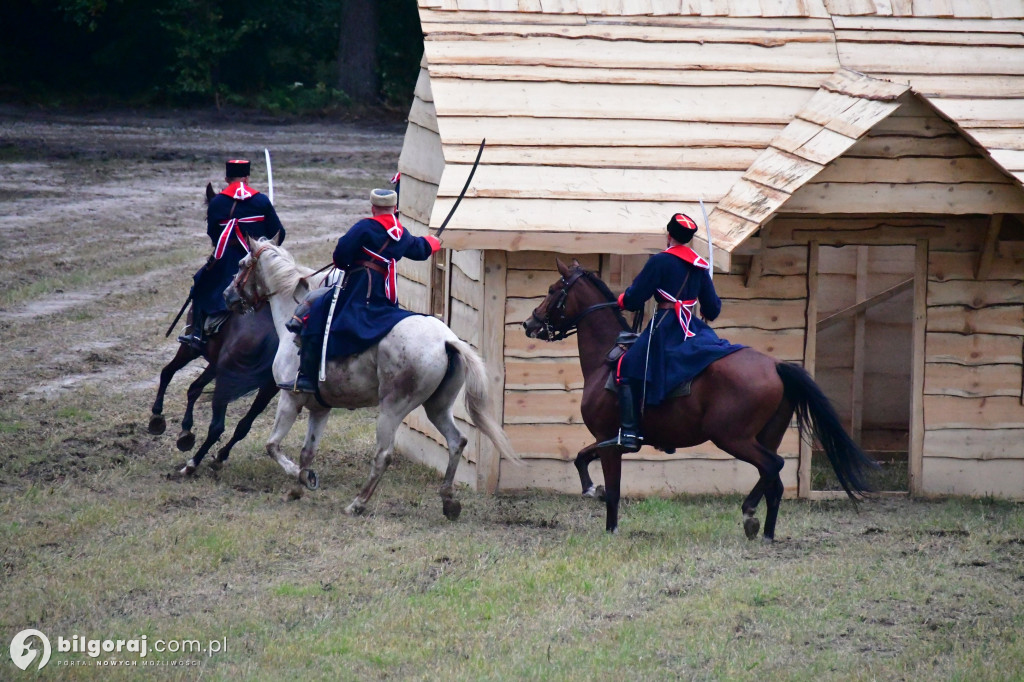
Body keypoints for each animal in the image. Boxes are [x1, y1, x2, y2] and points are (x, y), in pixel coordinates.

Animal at [220, 236, 516, 518]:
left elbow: (273, 446)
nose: (227, 295)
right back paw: (449, 502)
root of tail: (446, 340)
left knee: (383, 455)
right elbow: (308, 452)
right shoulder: (320, 408)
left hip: (392, 409)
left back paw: (357, 504)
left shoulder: (289, 399)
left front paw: (300, 477)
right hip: (437, 406)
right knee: (457, 441)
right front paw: (299, 487)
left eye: (242, 264)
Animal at [524, 258, 876, 540]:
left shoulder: (611, 440)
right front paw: (590, 490)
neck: (606, 358)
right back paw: (763, 529)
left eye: (554, 289)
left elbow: (611, 490)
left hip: (732, 437)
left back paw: (753, 518)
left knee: (772, 467)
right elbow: (581, 458)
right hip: (764, 436)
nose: (530, 323)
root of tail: (775, 366)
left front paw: (609, 526)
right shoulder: (609, 440)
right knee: (772, 478)